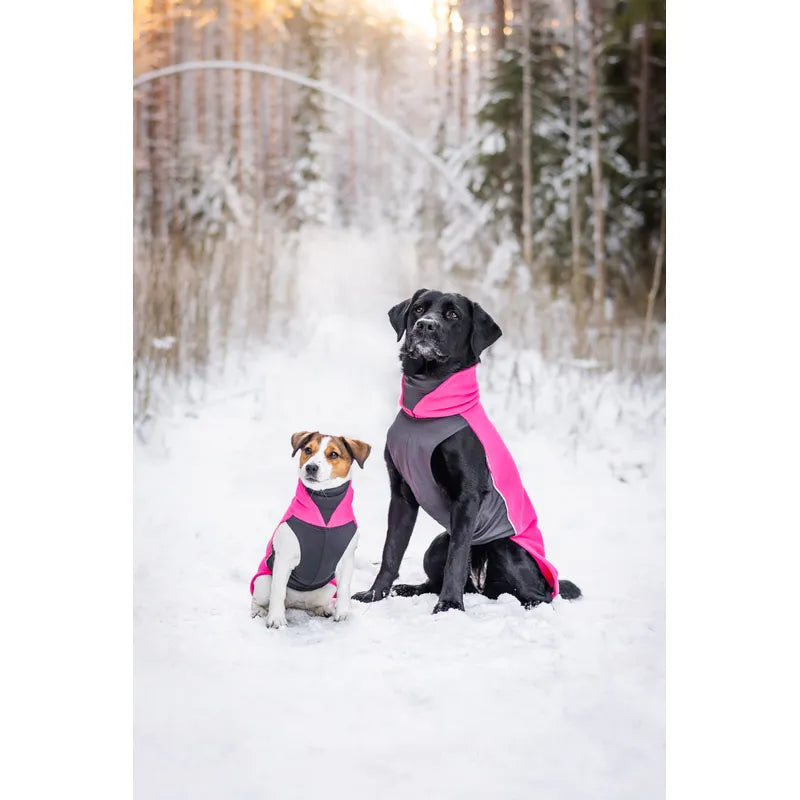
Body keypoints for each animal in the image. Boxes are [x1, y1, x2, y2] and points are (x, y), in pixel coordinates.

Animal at [250, 431, 371, 628]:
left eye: (333, 454)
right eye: (308, 449)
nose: (311, 467)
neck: (324, 504)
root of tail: (296, 603)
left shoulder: (346, 560)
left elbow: (344, 589)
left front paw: (342, 614)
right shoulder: (283, 560)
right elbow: (278, 592)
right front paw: (276, 619)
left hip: (328, 587)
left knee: (314, 603)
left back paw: (323, 609)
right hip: (262, 581)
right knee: (261, 598)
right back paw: (259, 611)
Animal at [352, 289, 581, 614]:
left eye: (453, 315)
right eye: (418, 308)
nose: (425, 325)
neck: (427, 406)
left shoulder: (467, 496)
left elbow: (457, 558)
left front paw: (449, 606)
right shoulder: (402, 493)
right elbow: (391, 551)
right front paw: (374, 594)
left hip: (505, 547)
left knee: (542, 594)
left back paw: (525, 605)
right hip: (437, 544)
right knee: (444, 579)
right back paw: (409, 589)